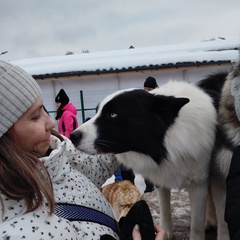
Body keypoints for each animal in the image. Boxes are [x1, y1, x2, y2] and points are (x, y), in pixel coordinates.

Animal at [70, 81, 217, 240]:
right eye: (97, 111)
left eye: (113, 114)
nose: (72, 136)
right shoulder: (162, 179)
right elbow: (165, 212)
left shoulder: (199, 184)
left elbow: (196, 226)